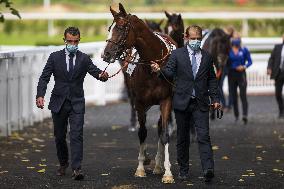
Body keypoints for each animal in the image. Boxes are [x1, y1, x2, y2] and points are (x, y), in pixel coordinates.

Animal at [103, 2, 175, 183]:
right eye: (110, 28)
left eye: (121, 28)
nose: (106, 53)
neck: (154, 68)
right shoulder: (140, 102)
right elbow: (142, 132)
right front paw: (141, 168)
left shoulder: (166, 100)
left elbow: (164, 134)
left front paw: (168, 173)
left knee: (159, 128)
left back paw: (158, 165)